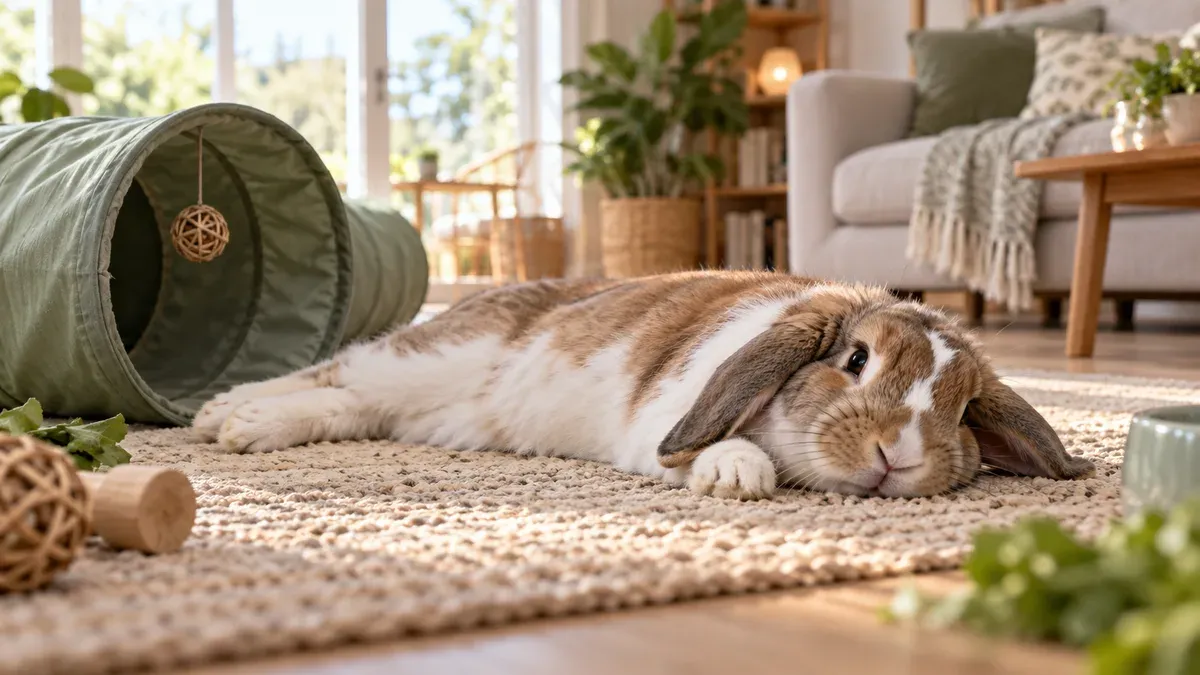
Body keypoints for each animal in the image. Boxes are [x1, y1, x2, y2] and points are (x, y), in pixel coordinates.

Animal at [192, 270, 1094, 500]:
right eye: (856, 361)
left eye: (963, 406)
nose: (897, 454)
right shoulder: (664, 416)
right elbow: (707, 443)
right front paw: (737, 473)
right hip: (432, 354)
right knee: (339, 366)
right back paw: (223, 414)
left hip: (427, 410)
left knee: (349, 403)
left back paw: (243, 426)